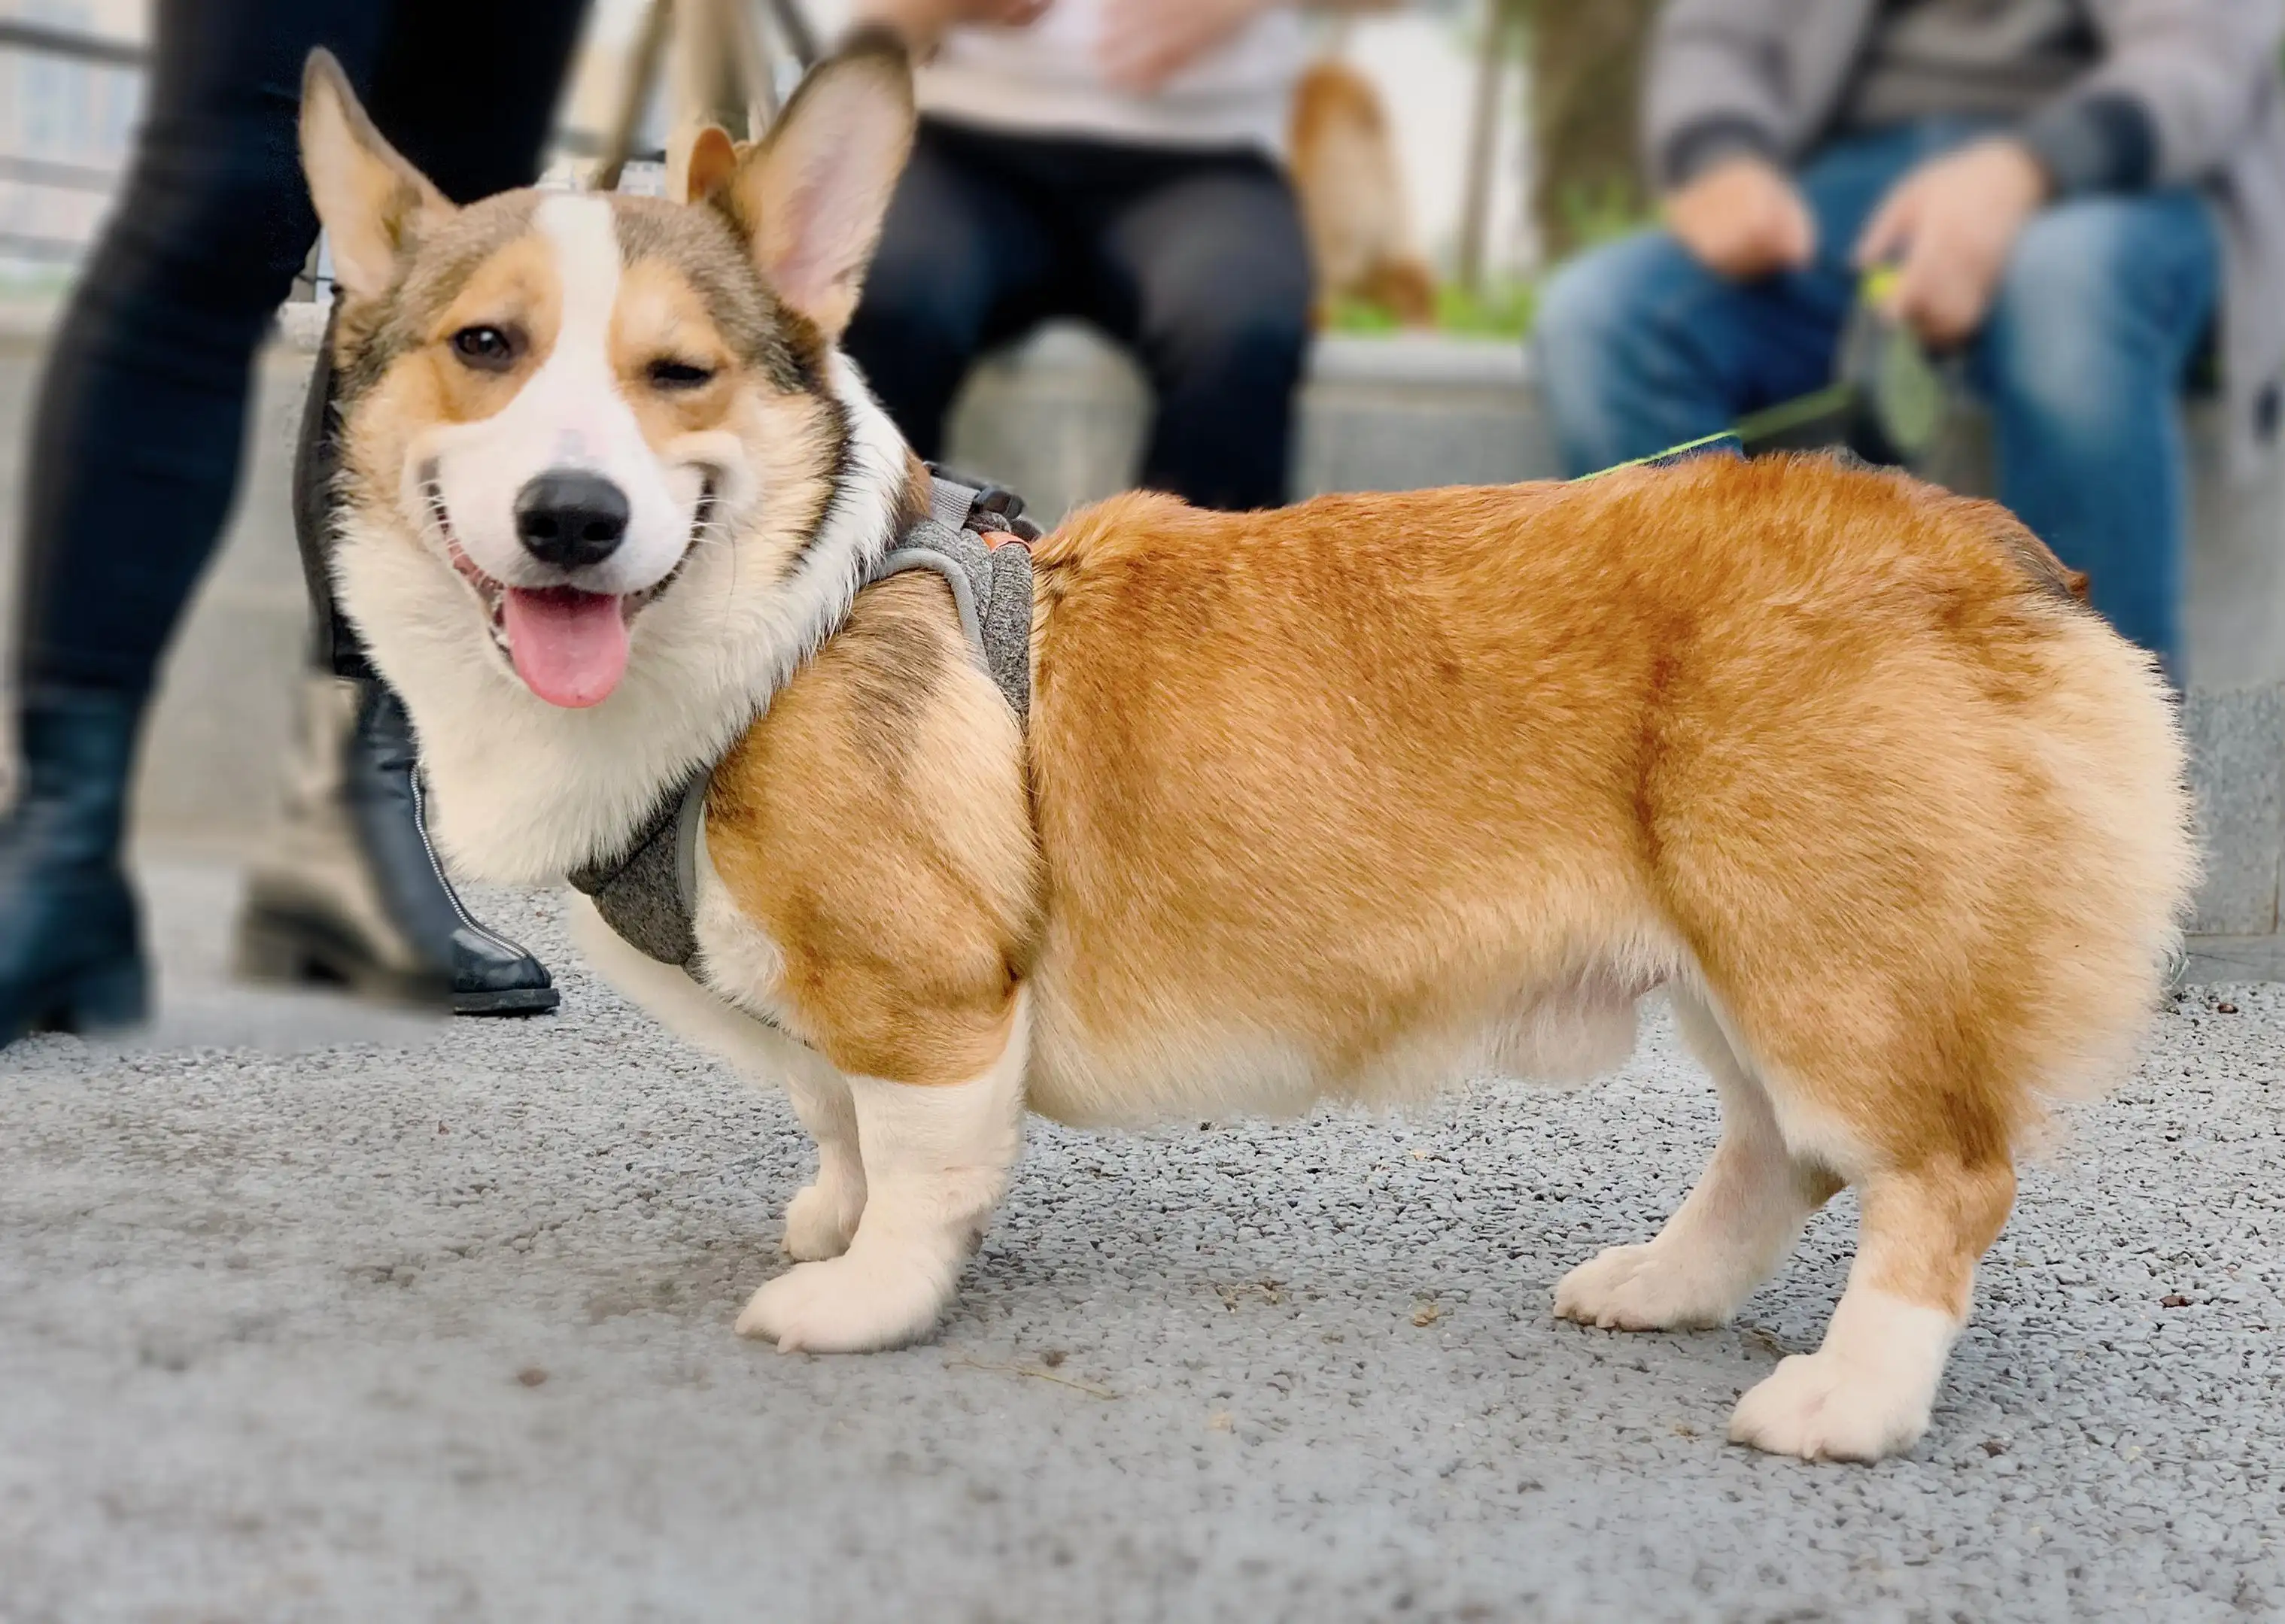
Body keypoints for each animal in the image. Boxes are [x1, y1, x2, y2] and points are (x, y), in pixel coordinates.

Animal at [299, 35, 2193, 1462]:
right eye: (485, 348)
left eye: (679, 374)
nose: (572, 518)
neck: (773, 624)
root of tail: (1994, 555)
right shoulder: (842, 1026)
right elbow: (835, 1126)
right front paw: (824, 1213)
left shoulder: (934, 1000)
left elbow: (917, 1165)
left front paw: (858, 1294)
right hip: (1738, 967)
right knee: (1779, 1151)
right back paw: (1659, 1288)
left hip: (1824, 961)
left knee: (1937, 1175)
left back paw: (1844, 1400)